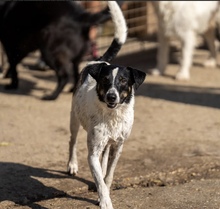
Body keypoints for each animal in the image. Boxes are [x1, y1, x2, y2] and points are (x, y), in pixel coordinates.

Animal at [67, 1, 146, 209]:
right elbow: (99, 181)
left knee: (104, 157)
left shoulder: (118, 146)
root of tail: (98, 60)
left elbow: (108, 176)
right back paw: (72, 164)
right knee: (72, 141)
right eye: (105, 80)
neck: (112, 115)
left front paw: (105, 187)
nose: (111, 97)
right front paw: (105, 201)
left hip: (108, 141)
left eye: (123, 81)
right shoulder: (92, 153)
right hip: (74, 119)